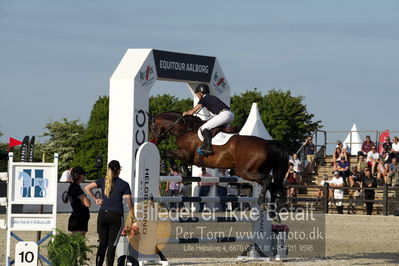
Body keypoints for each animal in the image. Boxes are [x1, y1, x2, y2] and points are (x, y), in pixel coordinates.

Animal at [148, 111, 290, 219]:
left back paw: (262, 202)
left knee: (268, 180)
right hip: (257, 171)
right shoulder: (186, 156)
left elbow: (166, 153)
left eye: (152, 127)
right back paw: (273, 213)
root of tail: (267, 143)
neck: (185, 129)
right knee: (273, 186)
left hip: (245, 171)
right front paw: (181, 169)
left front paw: (164, 167)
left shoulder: (185, 154)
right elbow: (171, 156)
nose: (152, 141)